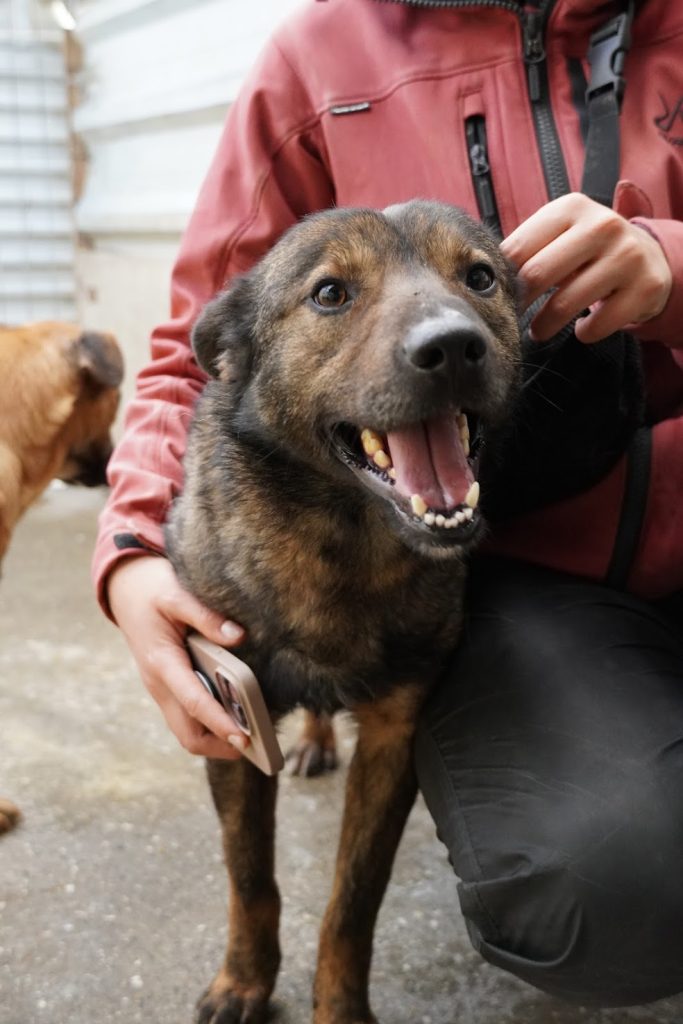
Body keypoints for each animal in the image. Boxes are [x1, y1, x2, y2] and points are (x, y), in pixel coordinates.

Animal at [166, 201, 524, 1024]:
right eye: (330, 293)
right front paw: (243, 981)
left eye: (480, 278)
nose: (452, 348)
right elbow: (249, 879)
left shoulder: (393, 736)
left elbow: (353, 900)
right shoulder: (230, 720)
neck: (343, 543)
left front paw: (338, 1005)